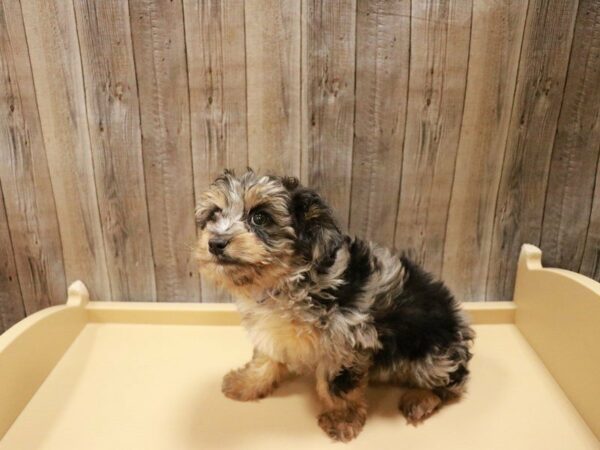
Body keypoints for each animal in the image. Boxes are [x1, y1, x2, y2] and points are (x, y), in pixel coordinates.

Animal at [196, 170, 474, 442]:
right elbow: (266, 357)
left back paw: (420, 399)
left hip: (434, 355)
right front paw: (246, 383)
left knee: (451, 384)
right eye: (214, 215)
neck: (290, 280)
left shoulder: (345, 340)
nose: (215, 243)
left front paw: (342, 418)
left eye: (260, 218)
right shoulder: (270, 329)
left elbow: (336, 384)